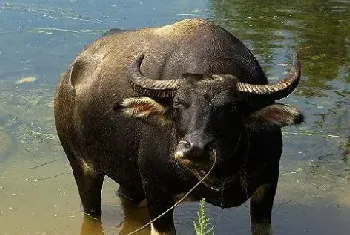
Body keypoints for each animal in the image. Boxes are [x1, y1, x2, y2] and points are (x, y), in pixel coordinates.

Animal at [54, 18, 304, 235]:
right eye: (177, 105)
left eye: (232, 107)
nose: (196, 148)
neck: (220, 174)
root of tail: (69, 76)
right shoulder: (157, 192)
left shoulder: (268, 184)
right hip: (82, 167)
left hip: (129, 179)